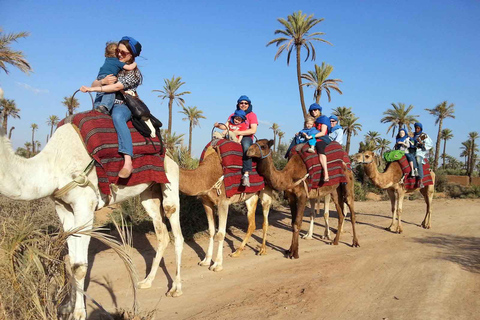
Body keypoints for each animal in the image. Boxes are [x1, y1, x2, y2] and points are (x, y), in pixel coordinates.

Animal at [0, 125, 184, 320]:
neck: (52, 165)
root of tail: (170, 155)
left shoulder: (84, 204)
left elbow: (79, 266)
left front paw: (79, 313)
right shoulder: (63, 207)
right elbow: (72, 261)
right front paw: (66, 307)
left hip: (170, 182)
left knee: (176, 230)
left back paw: (175, 288)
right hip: (148, 193)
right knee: (162, 234)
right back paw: (147, 281)